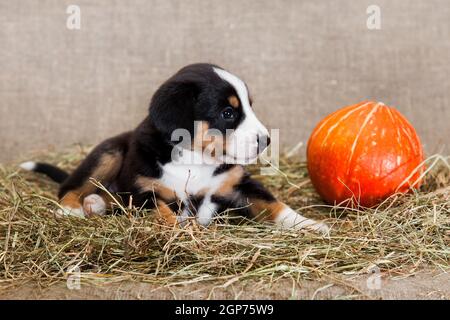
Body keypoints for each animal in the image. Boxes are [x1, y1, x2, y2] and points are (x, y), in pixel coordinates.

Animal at [21, 63, 328, 232]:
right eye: (228, 112)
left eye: (249, 106)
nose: (266, 140)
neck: (196, 159)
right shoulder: (144, 192)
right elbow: (163, 214)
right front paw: (181, 231)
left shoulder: (239, 186)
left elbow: (276, 205)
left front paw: (309, 224)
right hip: (109, 152)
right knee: (71, 187)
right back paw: (72, 209)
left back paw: (95, 204)